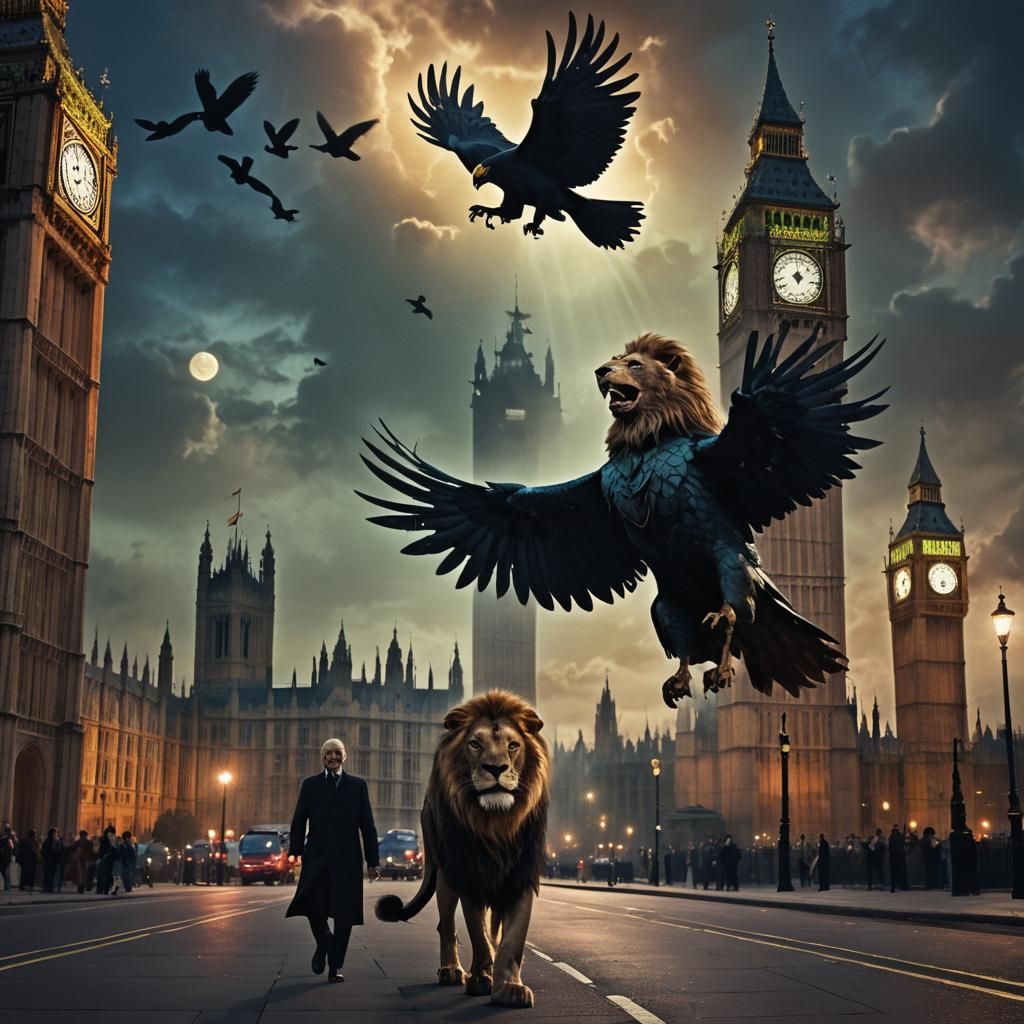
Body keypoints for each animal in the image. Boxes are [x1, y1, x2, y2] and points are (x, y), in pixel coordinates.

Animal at [375, 690, 549, 1008]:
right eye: (475, 743)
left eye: (513, 746)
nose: (495, 769)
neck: (496, 823)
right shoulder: (469, 873)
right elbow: (478, 934)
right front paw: (480, 978)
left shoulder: (522, 874)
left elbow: (513, 938)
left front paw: (509, 987)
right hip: (444, 873)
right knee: (446, 925)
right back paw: (451, 971)